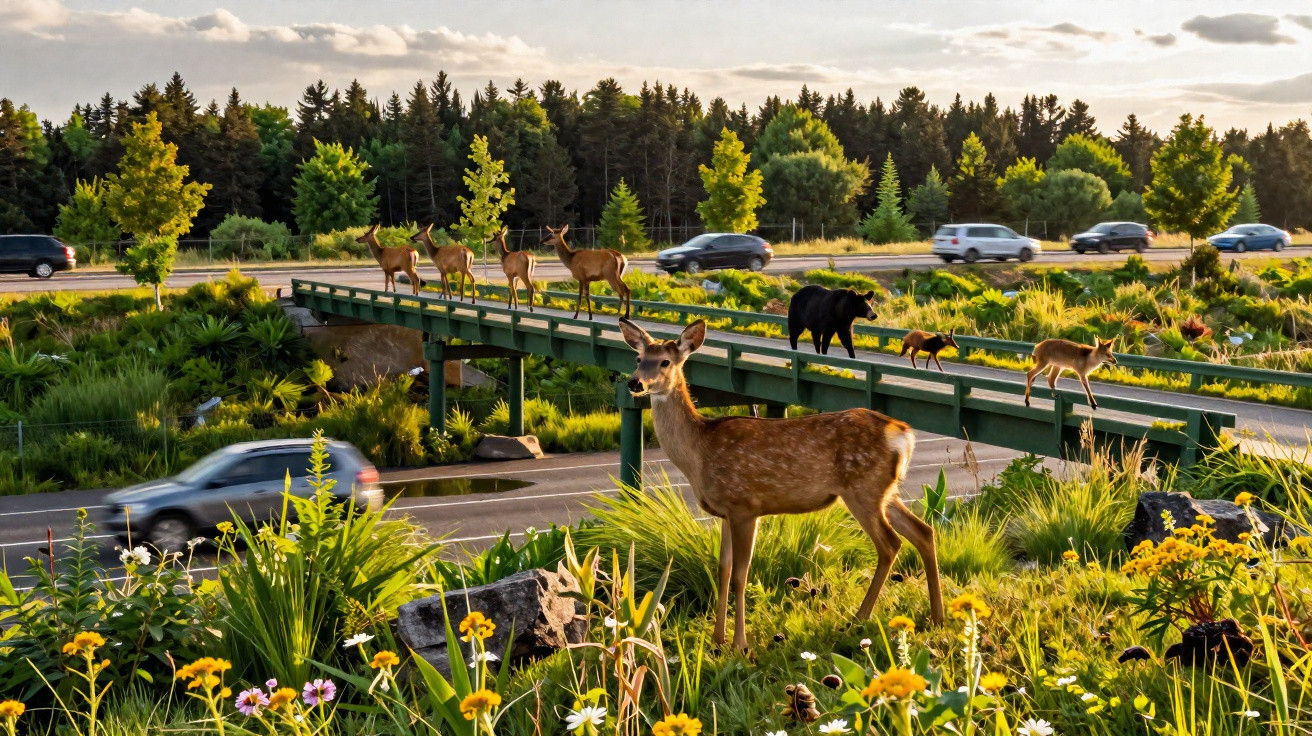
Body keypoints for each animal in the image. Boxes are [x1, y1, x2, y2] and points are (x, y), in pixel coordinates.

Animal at [619, 317, 944, 651]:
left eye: (665, 361)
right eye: (638, 359)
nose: (635, 383)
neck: (699, 453)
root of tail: (903, 434)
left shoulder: (745, 506)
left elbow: (741, 574)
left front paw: (740, 645)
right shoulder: (725, 512)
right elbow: (723, 570)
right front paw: (717, 639)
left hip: (862, 489)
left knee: (890, 544)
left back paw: (858, 619)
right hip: (884, 491)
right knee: (923, 531)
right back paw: (936, 617)